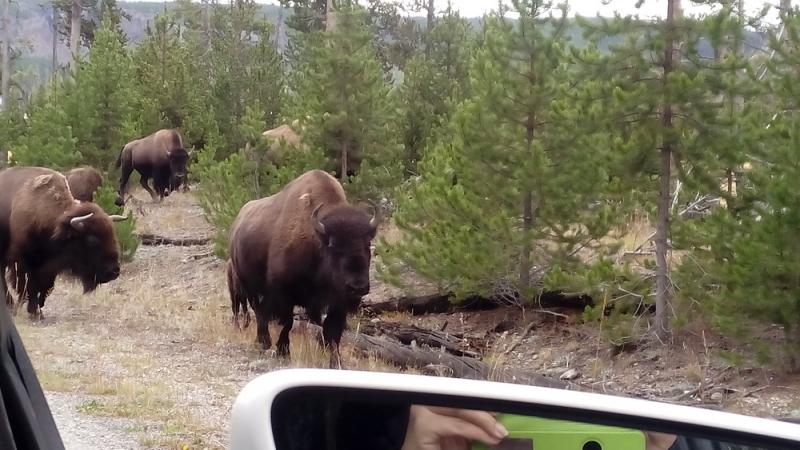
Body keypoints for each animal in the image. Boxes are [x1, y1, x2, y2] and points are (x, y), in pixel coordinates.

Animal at [0, 166, 129, 320]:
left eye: (112, 235)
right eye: (91, 240)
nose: (114, 271)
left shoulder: (50, 266)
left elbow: (46, 287)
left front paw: (39, 309)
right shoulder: (22, 262)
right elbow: (27, 286)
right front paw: (35, 312)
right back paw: (10, 305)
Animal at [227, 169, 380, 370]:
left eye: (367, 244)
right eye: (333, 246)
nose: (358, 287)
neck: (316, 241)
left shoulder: (338, 301)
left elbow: (332, 331)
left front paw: (336, 362)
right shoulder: (284, 293)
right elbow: (287, 322)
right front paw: (283, 352)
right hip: (248, 286)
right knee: (258, 311)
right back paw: (263, 342)